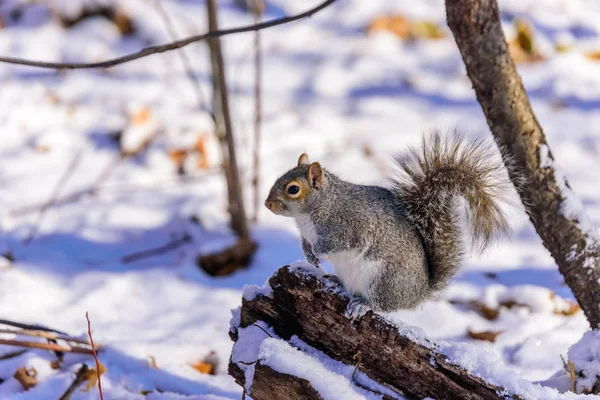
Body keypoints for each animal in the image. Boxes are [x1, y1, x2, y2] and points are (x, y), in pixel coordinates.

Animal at [264, 133, 512, 314]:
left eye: (293, 189)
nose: (267, 204)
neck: (311, 212)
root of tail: (417, 293)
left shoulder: (350, 227)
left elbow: (337, 244)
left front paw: (318, 252)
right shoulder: (307, 233)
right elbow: (305, 244)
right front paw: (309, 255)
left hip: (384, 280)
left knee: (384, 306)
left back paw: (363, 304)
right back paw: (335, 280)